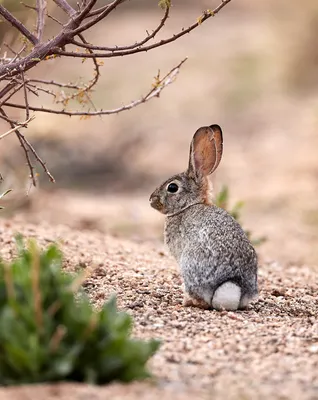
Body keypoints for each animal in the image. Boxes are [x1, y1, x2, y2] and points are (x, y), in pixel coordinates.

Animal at [150, 123, 258, 310]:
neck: (189, 206)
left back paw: (186, 301)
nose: (151, 200)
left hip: (189, 266)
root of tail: (232, 282)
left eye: (172, 188)